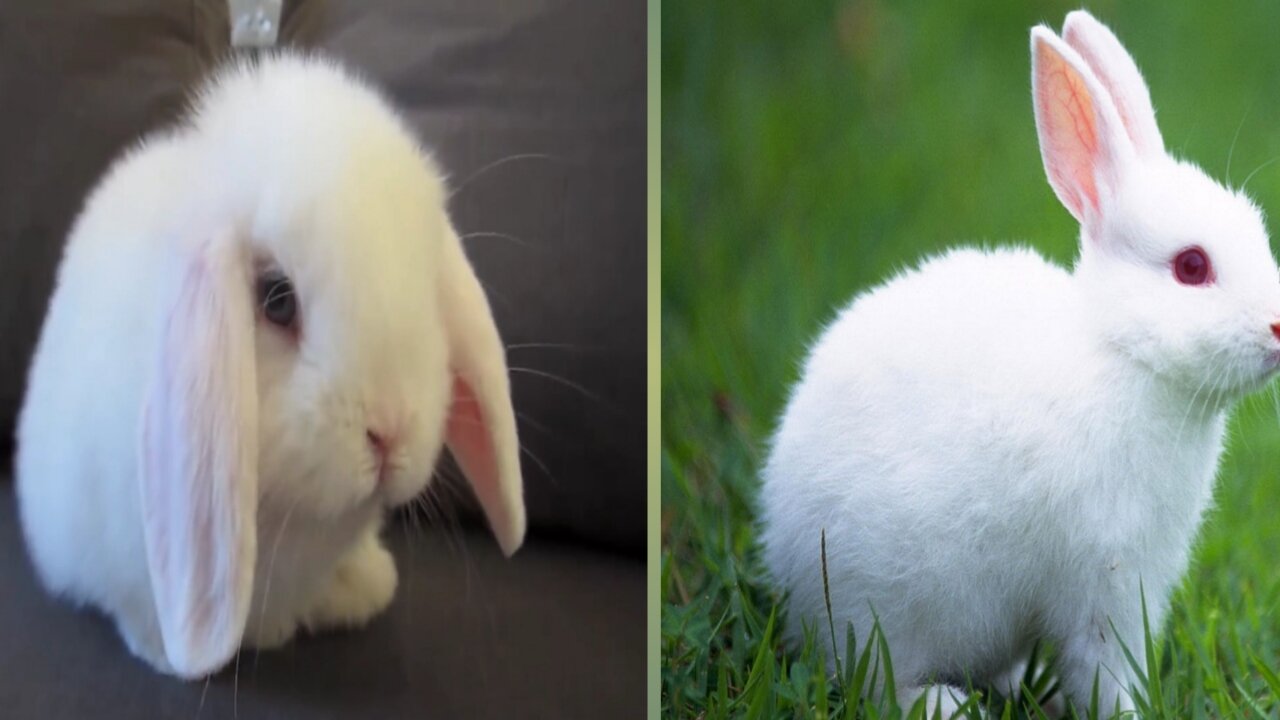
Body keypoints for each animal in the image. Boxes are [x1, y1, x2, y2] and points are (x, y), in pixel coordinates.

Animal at [757, 9, 1280, 712]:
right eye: (1192, 266)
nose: (1279, 325)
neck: (1124, 356)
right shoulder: (1107, 581)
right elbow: (1103, 671)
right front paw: (1127, 715)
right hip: (888, 604)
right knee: (879, 682)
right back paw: (948, 707)